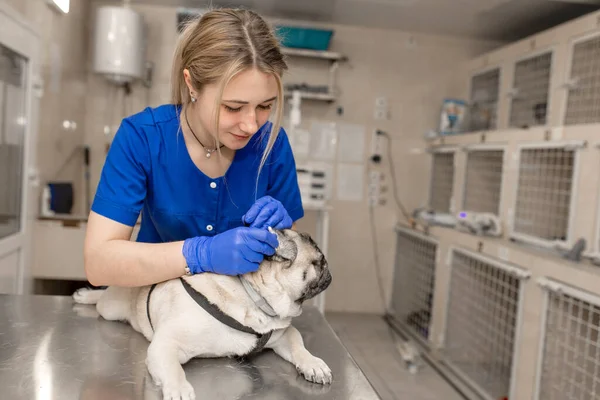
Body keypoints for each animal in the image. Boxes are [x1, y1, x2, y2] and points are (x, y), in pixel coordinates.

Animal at [74, 228, 332, 400]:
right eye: (320, 261)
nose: (329, 272)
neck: (252, 296)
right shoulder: (166, 344)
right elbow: (173, 369)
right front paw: (179, 389)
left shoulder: (284, 334)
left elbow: (299, 347)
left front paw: (313, 364)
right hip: (111, 307)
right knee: (101, 299)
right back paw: (85, 296)